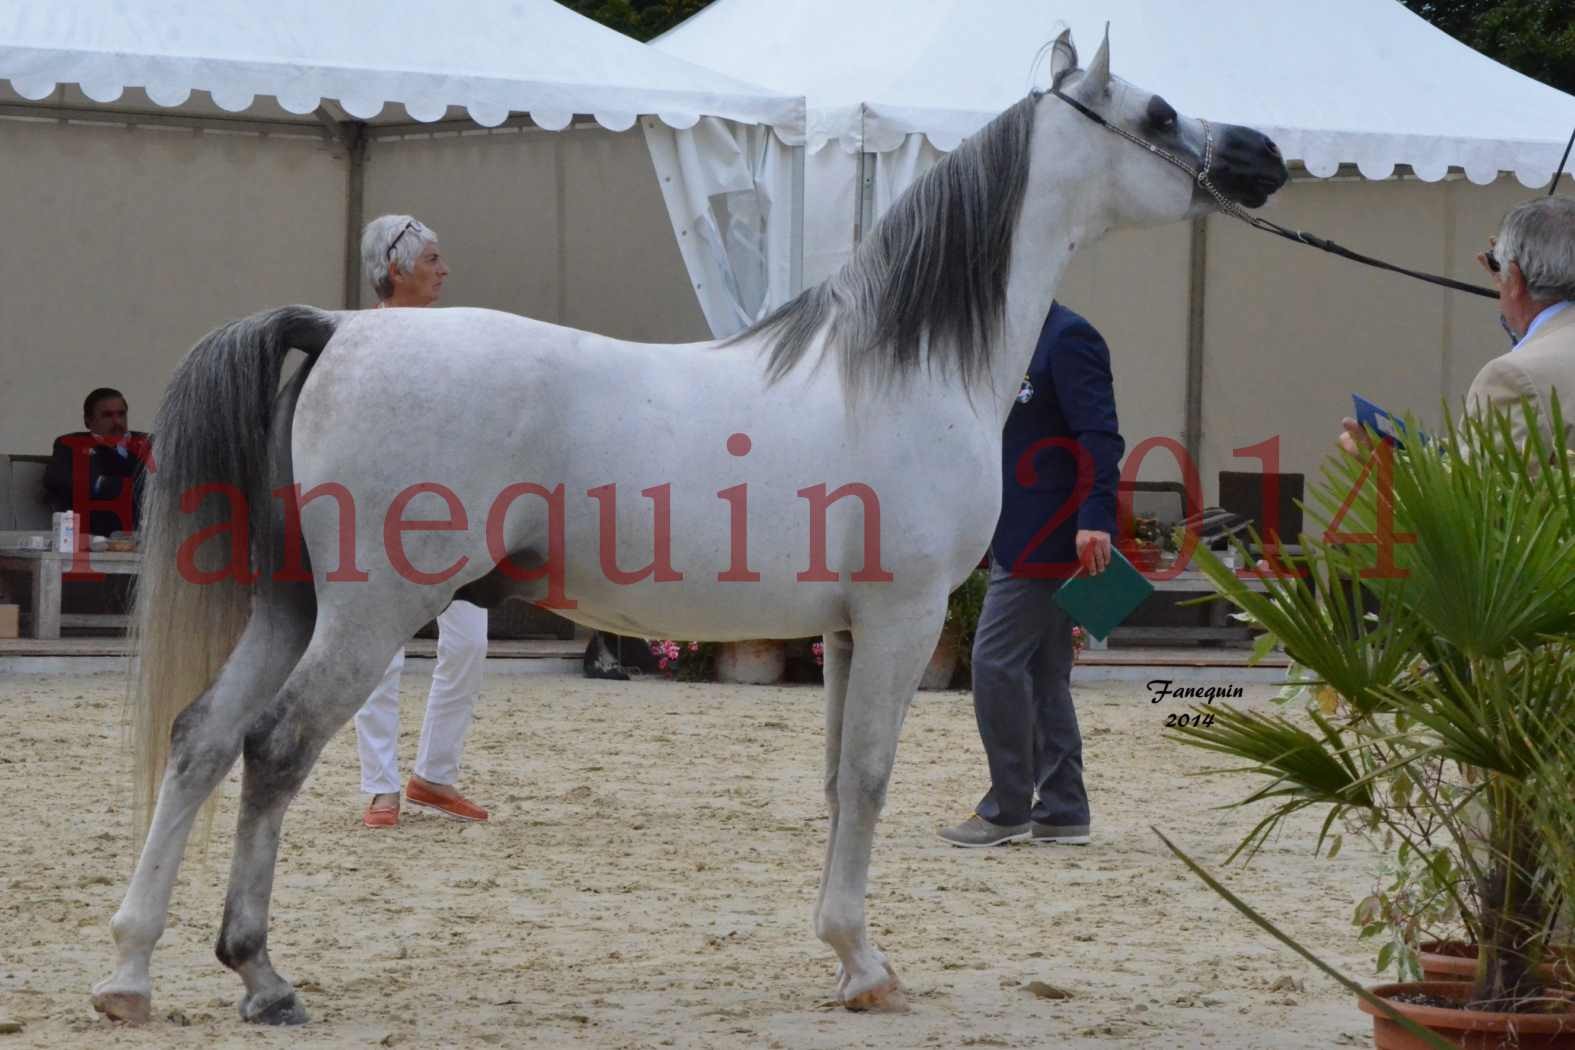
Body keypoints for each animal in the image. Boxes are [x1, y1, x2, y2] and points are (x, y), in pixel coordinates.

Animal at [92, 32, 1285, 1026]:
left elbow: (837, 783)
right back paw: (260, 975)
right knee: (273, 749)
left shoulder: (844, 631)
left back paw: (130, 971)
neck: (903, 368)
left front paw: (841, 955)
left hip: (291, 606)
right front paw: (867, 967)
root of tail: (340, 327)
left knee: (199, 739)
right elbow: (870, 779)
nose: (1263, 154)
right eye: (1159, 111)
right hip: (371, 613)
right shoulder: (902, 621)